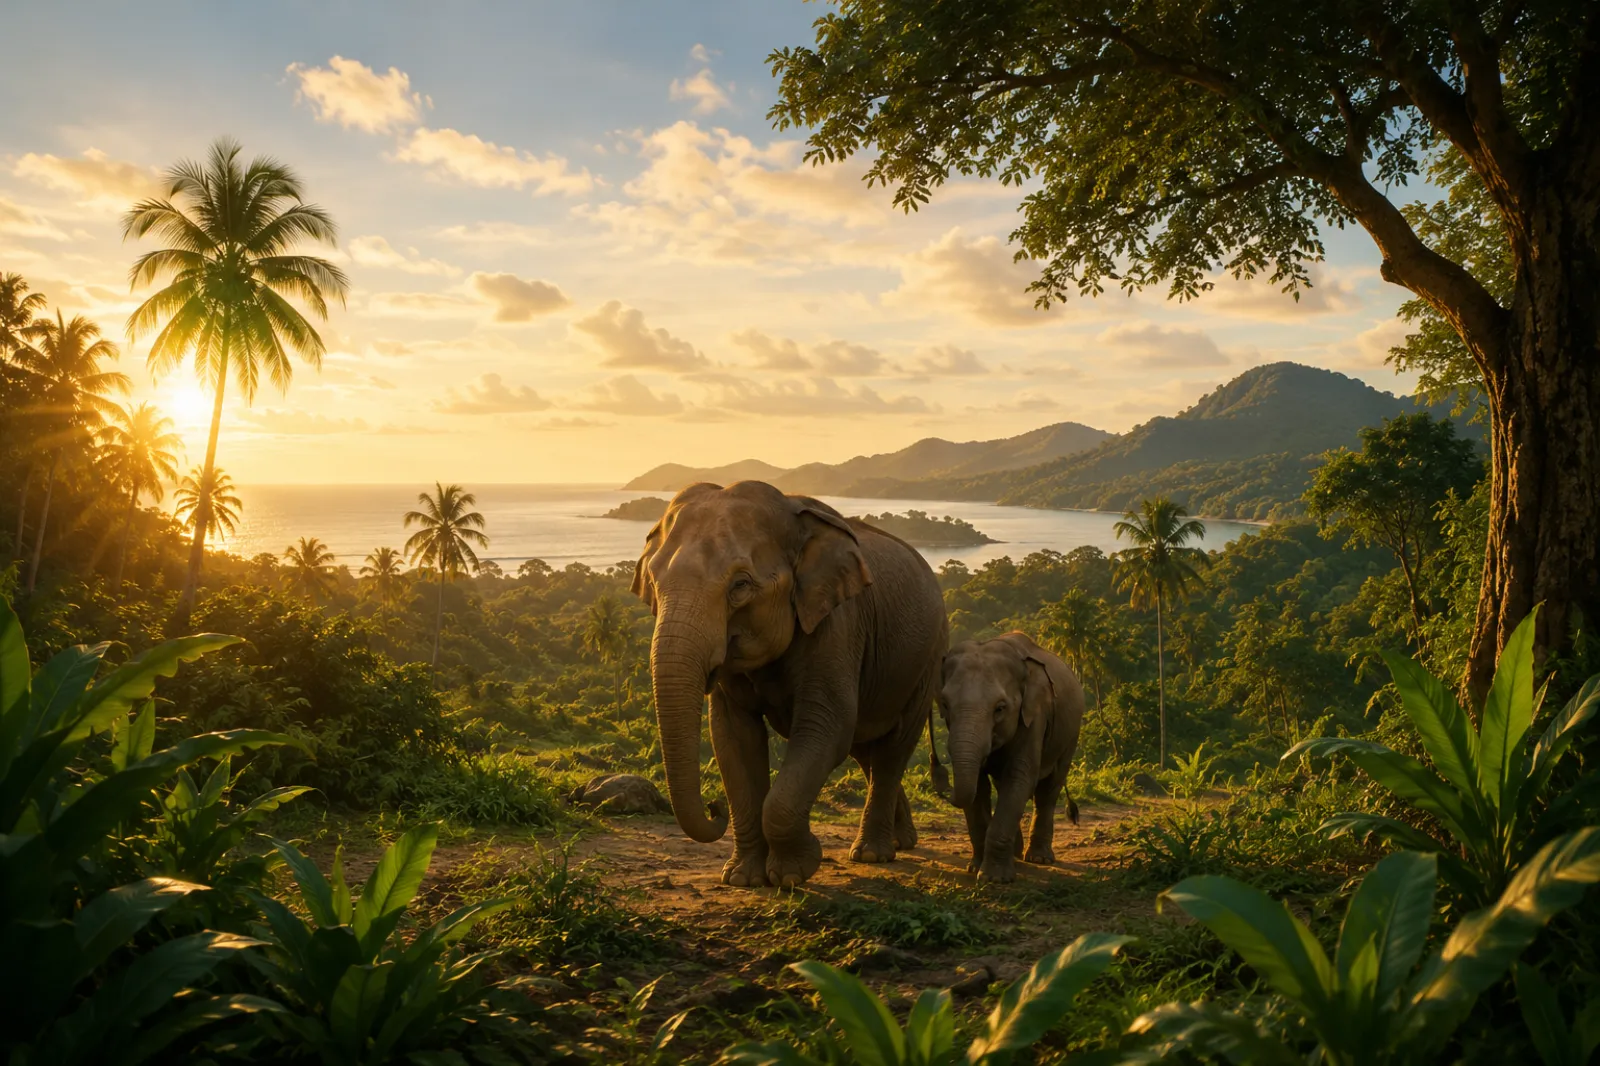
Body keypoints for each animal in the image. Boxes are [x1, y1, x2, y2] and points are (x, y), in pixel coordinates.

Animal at [632, 480, 948, 888]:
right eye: (653, 583)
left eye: (740, 585)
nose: (714, 808)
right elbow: (732, 736)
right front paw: (742, 878)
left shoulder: (837, 624)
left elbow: (826, 726)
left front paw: (792, 873)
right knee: (867, 750)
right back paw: (900, 841)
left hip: (927, 658)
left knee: (893, 748)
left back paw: (872, 854)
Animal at [938, 632, 1085, 884]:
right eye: (945, 704)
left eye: (1000, 708)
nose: (944, 788)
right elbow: (979, 787)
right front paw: (974, 868)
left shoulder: (1035, 715)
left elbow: (1019, 777)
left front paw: (994, 878)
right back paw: (1016, 854)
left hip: (1070, 736)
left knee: (1048, 789)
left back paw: (1039, 858)